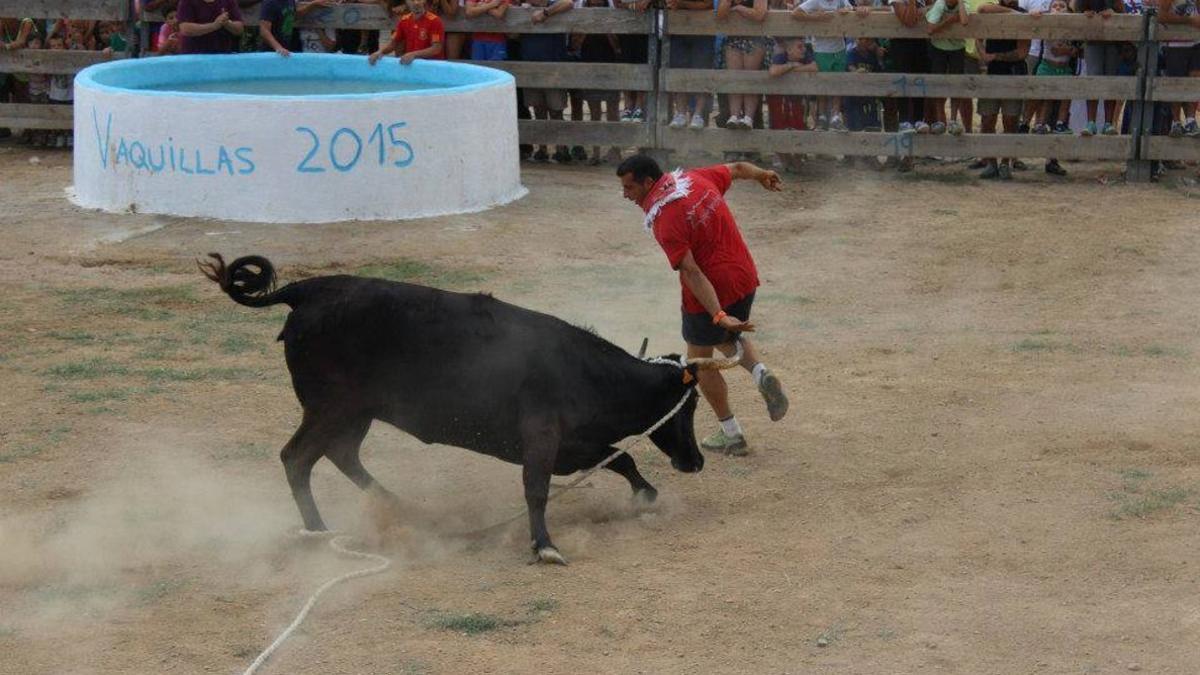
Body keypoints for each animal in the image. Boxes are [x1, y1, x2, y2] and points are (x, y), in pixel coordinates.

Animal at [201, 253, 734, 562]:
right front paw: (545, 545)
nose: (695, 461)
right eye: (687, 407)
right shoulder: (542, 436)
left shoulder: (574, 444)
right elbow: (537, 488)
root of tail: (307, 291)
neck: (586, 371)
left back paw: (398, 507)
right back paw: (317, 530)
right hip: (330, 408)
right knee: (298, 458)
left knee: (339, 455)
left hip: (355, 413)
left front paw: (645, 493)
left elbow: (618, 459)